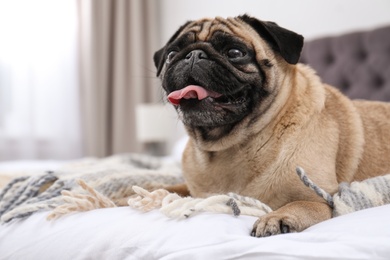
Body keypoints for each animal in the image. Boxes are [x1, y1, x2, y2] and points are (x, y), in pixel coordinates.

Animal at [152, 14, 390, 238]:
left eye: (235, 52)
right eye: (171, 54)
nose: (193, 55)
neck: (228, 146)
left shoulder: (323, 201)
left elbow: (298, 204)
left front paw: (276, 217)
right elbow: (173, 188)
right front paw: (149, 190)